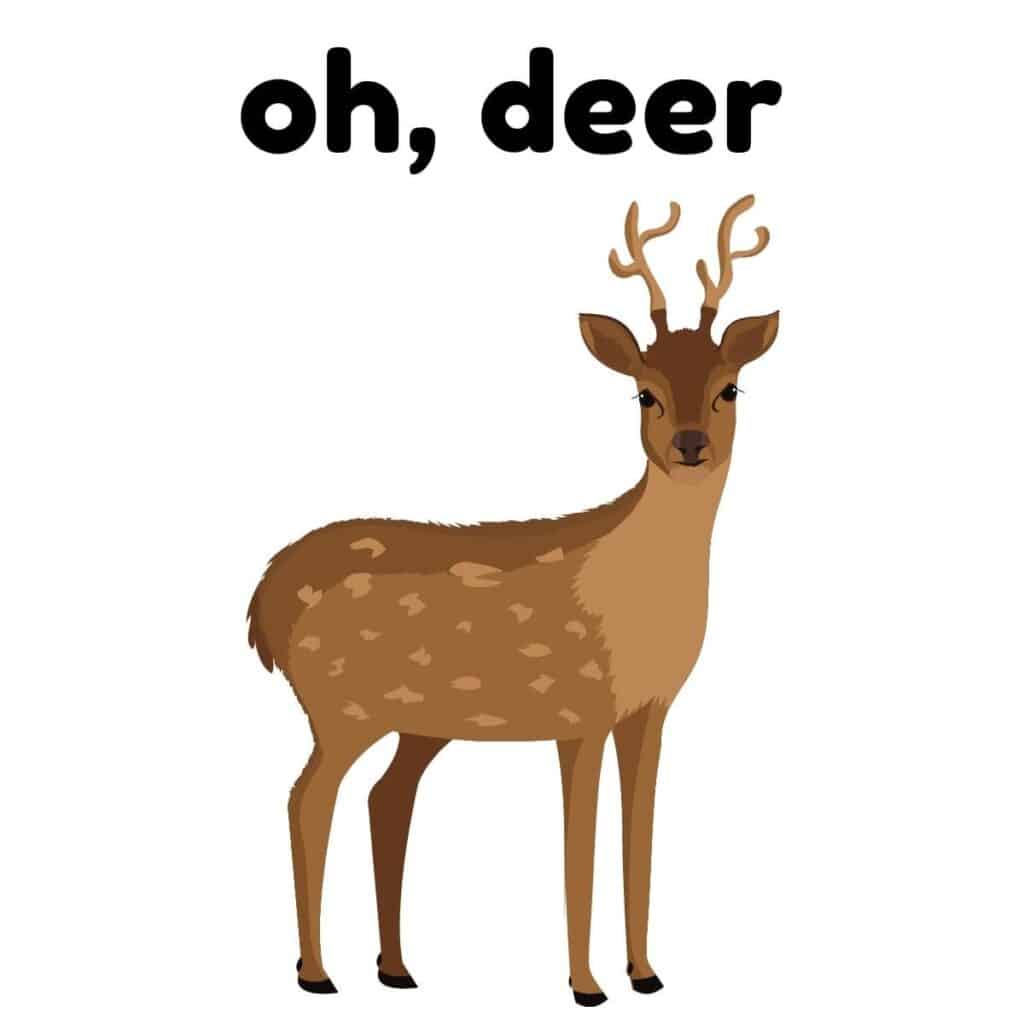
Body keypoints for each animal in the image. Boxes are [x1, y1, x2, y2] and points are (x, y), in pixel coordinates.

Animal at [246, 194, 779, 1006]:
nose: (690, 444)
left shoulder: (649, 709)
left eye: (730, 387)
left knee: (384, 798)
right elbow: (578, 842)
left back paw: (396, 968)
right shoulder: (579, 707)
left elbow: (640, 833)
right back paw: (316, 973)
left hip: (414, 721)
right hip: (339, 708)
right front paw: (587, 986)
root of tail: (264, 604)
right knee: (306, 798)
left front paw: (646, 974)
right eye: (644, 392)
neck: (637, 596)